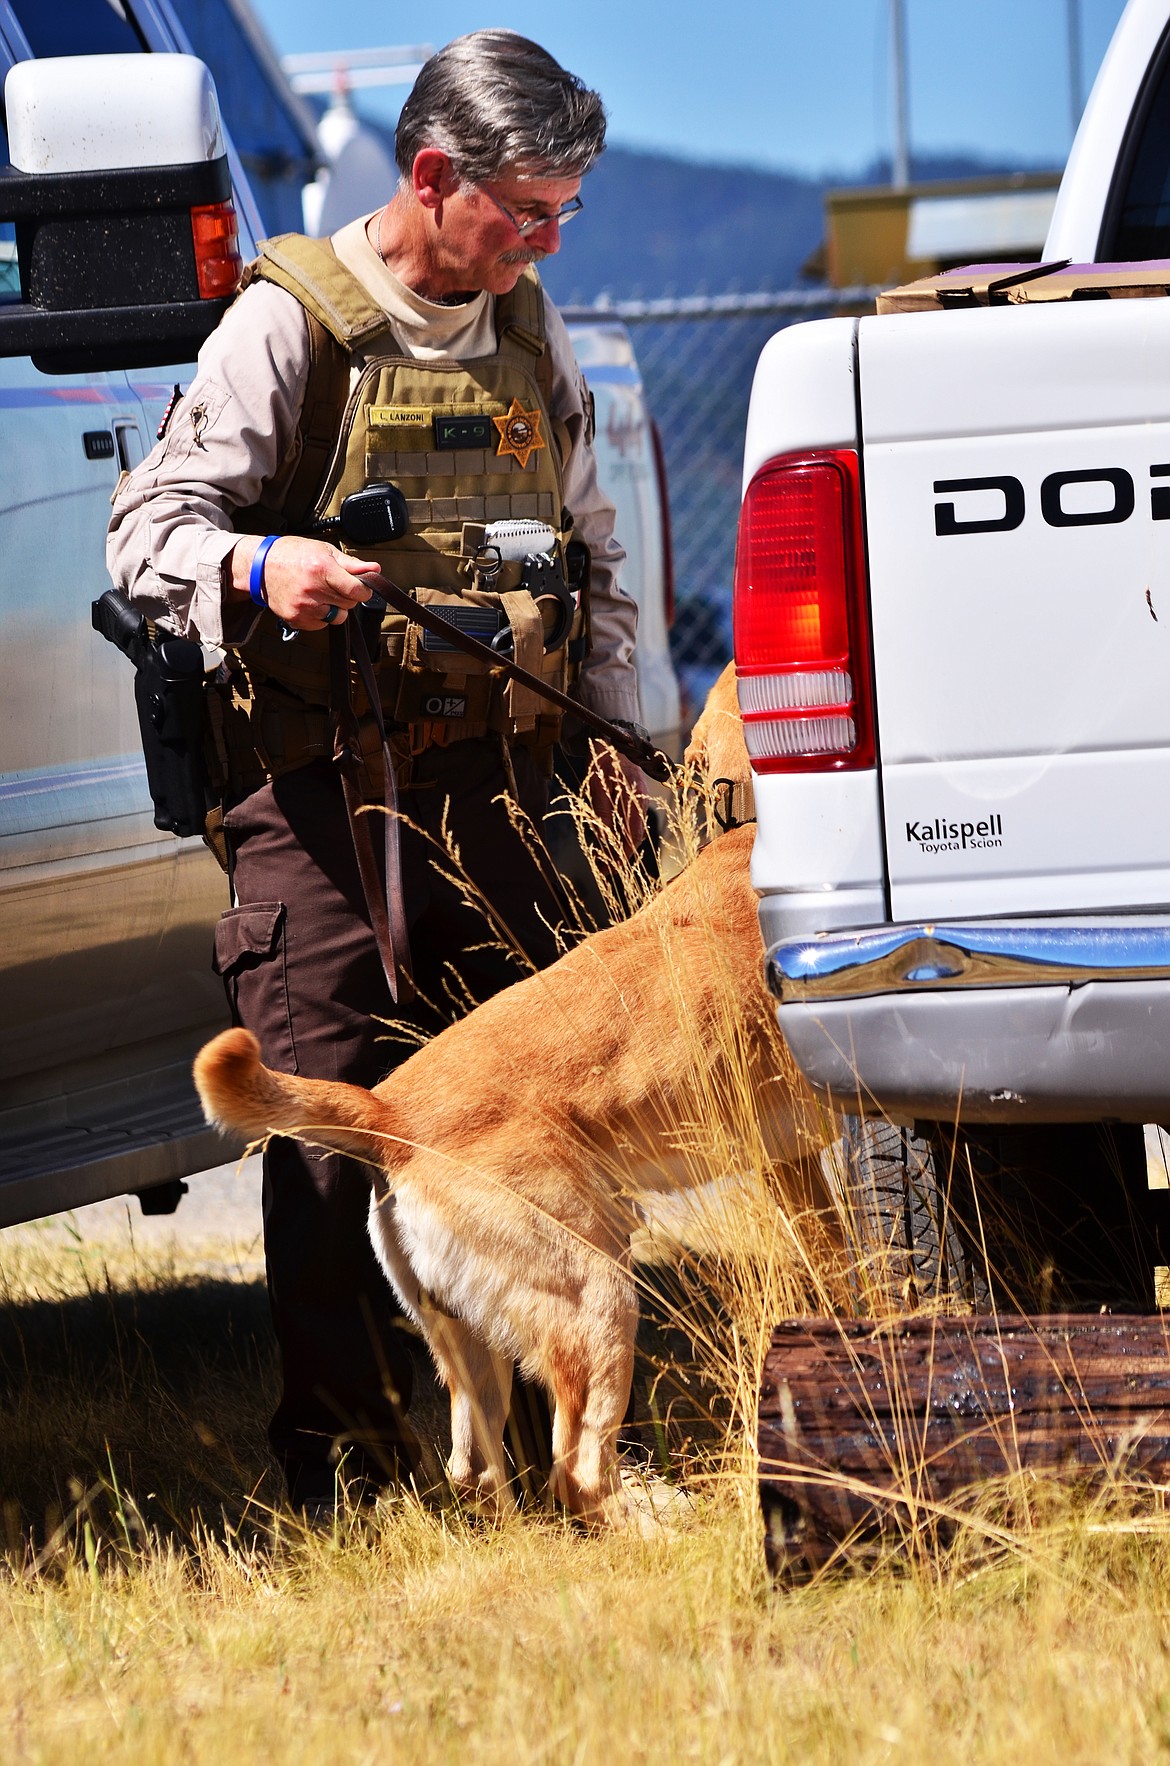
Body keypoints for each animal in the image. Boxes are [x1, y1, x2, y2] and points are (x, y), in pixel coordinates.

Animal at [194, 667, 822, 1525]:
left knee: (477, 1472)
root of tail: (390, 1115)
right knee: (576, 1468)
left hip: (471, 1347)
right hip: (598, 1294)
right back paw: (665, 1526)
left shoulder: (794, 1162)